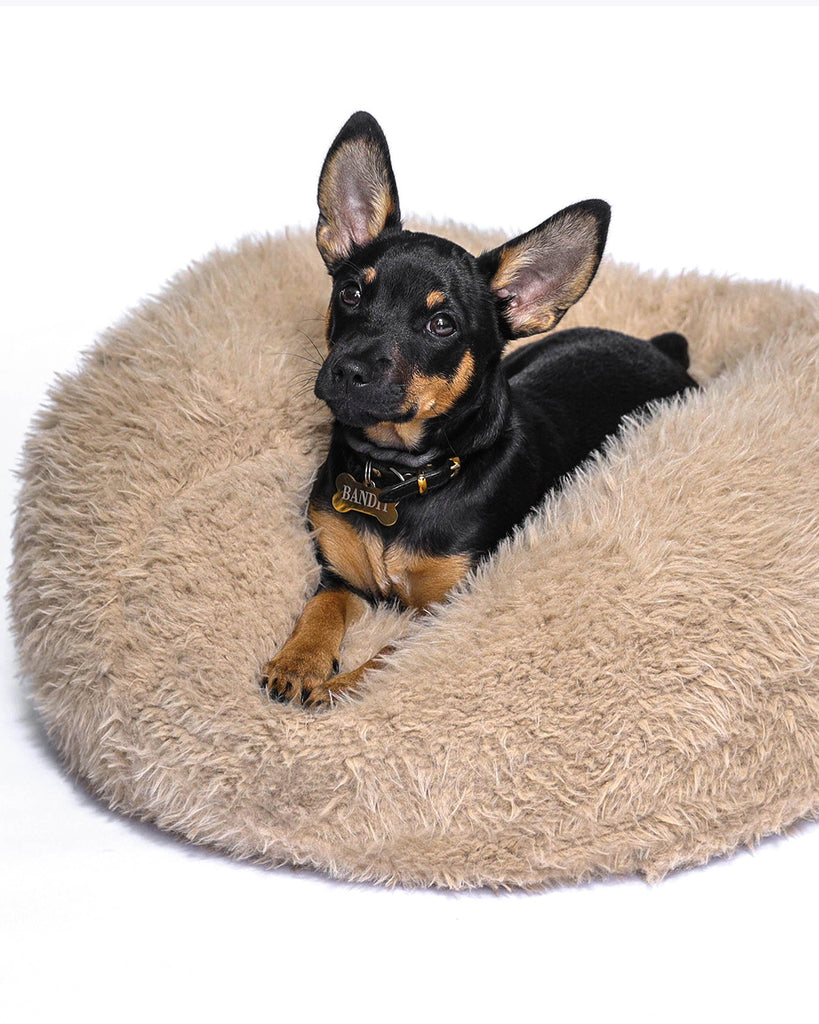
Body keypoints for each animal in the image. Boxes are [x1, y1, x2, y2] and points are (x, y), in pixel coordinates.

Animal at [262, 110, 696, 704]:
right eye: (350, 293)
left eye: (441, 324)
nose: (347, 371)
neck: (396, 474)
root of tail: (662, 349)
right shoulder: (340, 575)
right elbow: (321, 607)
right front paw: (300, 662)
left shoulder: (447, 610)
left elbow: (388, 660)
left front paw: (340, 685)